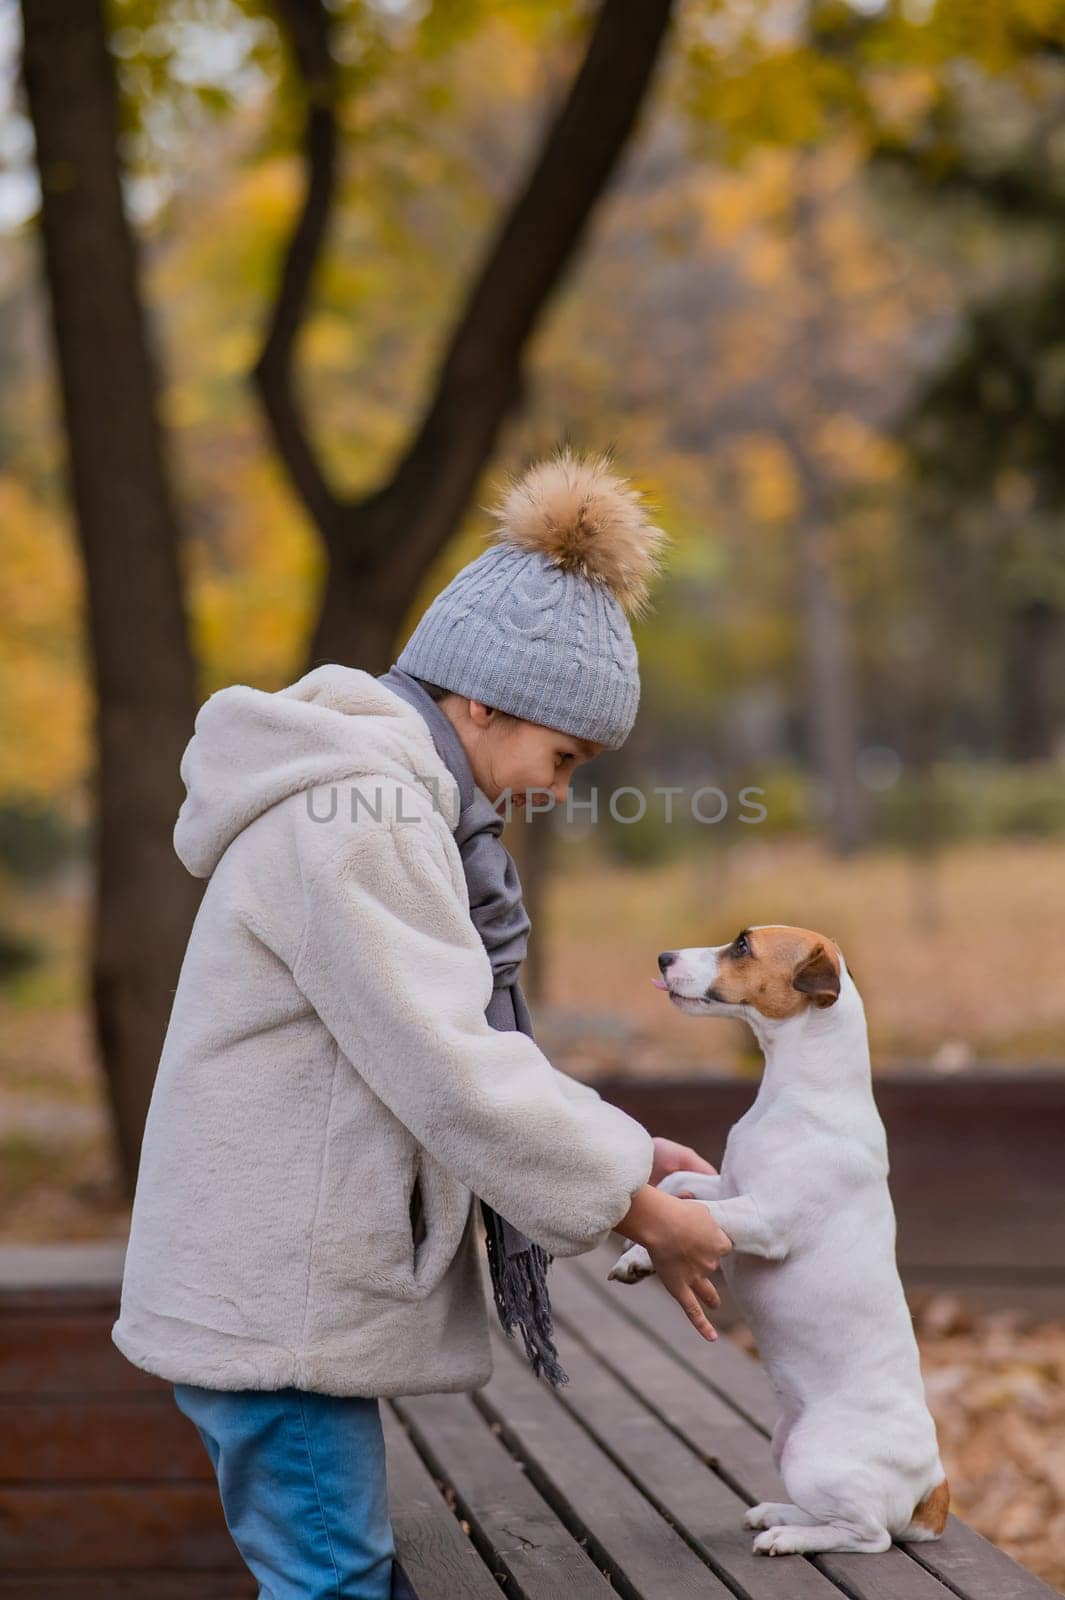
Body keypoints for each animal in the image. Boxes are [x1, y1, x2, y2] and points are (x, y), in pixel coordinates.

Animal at [604, 934, 946, 1555]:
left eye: (742, 945)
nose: (663, 958)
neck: (796, 1093)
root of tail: (933, 1487)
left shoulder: (763, 1220)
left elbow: (702, 1212)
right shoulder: (728, 1184)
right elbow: (678, 1185)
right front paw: (637, 1255)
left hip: (817, 1458)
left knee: (869, 1535)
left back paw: (788, 1537)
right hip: (785, 1445)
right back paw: (777, 1513)